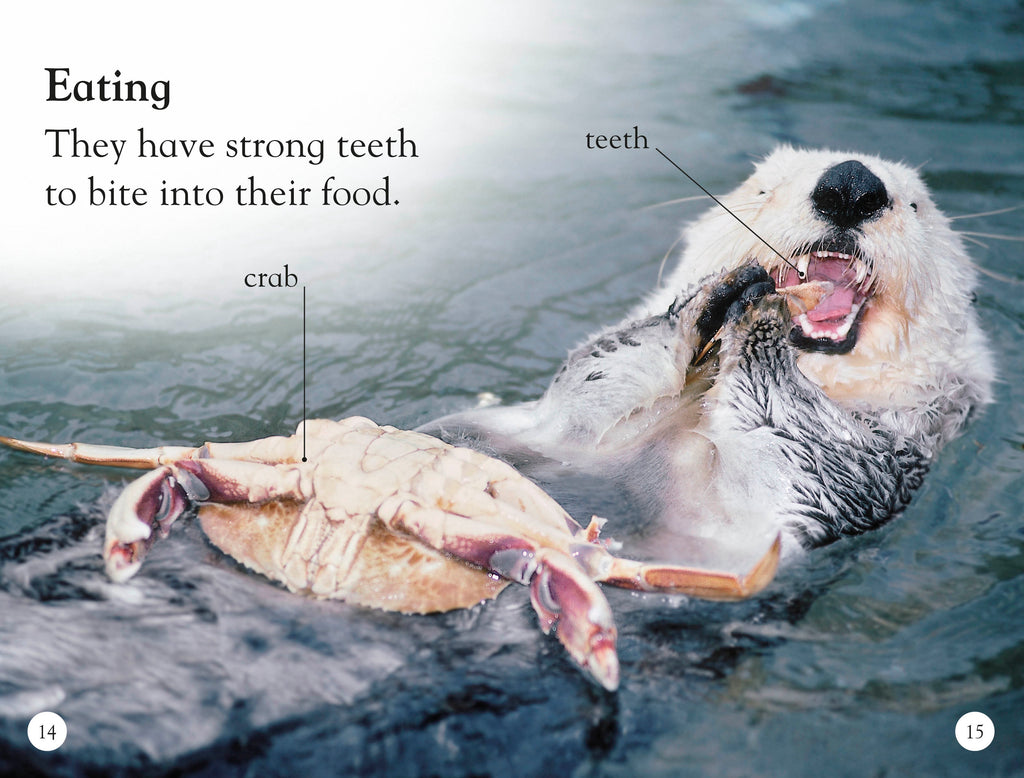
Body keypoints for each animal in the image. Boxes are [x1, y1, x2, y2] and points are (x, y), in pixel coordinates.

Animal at [422, 147, 994, 556]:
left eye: (917, 204)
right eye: (765, 185)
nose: (852, 184)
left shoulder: (859, 468)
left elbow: (788, 446)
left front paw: (762, 324)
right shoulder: (561, 428)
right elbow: (593, 375)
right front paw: (713, 296)